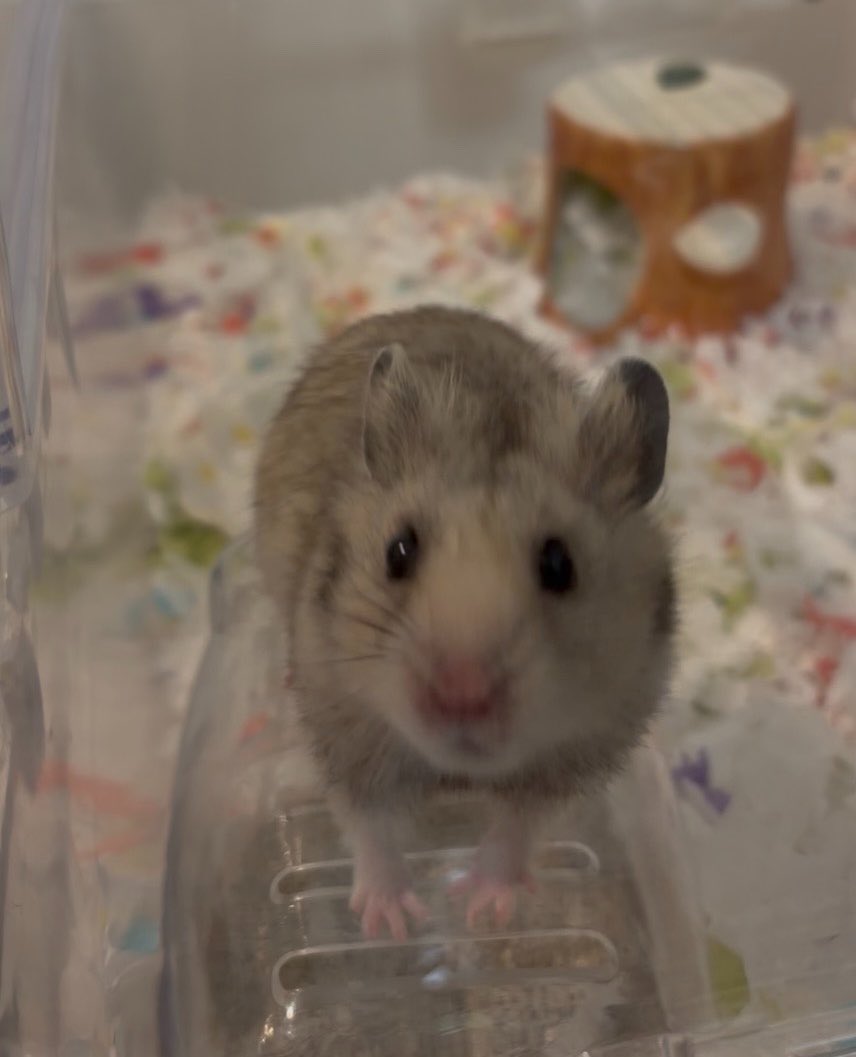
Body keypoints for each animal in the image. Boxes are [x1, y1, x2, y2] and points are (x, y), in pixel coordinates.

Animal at [254, 305, 674, 940]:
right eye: (399, 552)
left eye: (560, 564)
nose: (461, 696)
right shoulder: (344, 727)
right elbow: (368, 826)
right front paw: (391, 922)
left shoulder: (581, 748)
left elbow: (516, 829)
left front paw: (484, 909)